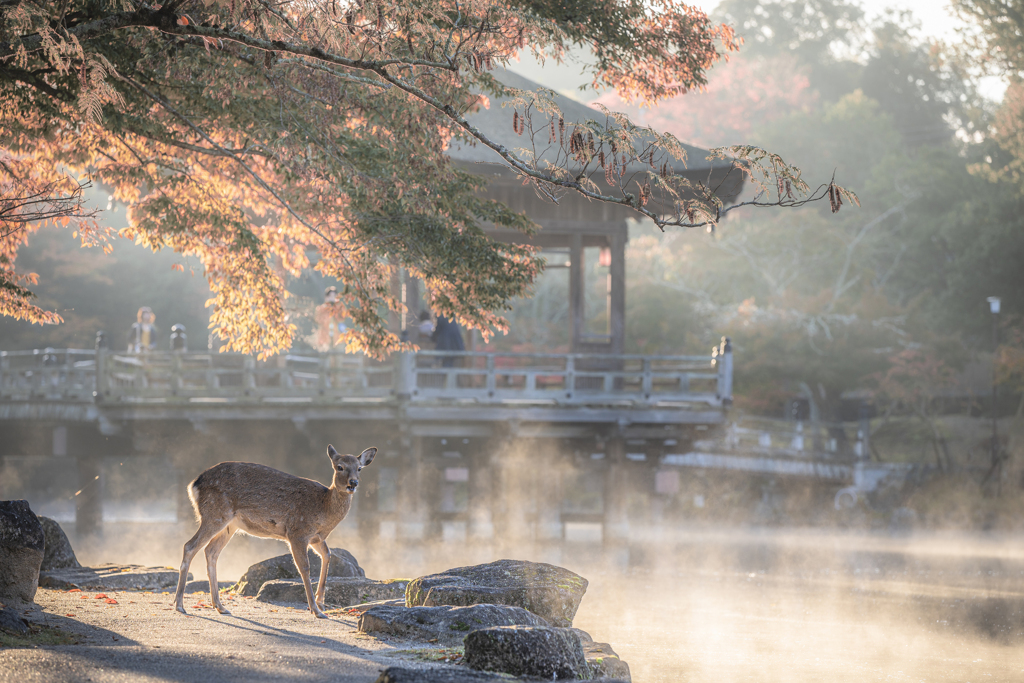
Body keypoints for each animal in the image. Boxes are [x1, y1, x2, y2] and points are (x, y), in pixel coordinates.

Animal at [172, 444, 376, 618]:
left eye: (359, 468)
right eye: (339, 467)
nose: (353, 483)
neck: (324, 510)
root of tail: (193, 485)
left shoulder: (316, 538)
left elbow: (328, 555)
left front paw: (320, 603)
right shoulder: (297, 532)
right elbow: (305, 567)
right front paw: (315, 609)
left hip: (230, 525)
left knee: (211, 551)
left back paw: (220, 606)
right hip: (214, 513)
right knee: (189, 546)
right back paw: (179, 605)